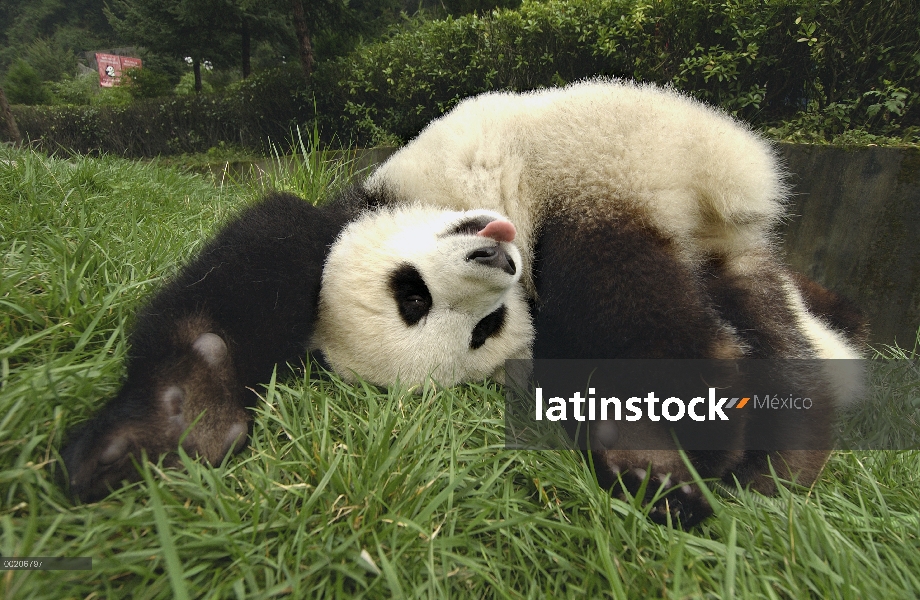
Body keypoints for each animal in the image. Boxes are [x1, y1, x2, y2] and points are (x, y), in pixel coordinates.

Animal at [61, 79, 868, 524]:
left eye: (410, 293)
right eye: (483, 329)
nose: (495, 262)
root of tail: (730, 189)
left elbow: (270, 245)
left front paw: (171, 419)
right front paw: (185, 418)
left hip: (616, 170)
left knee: (614, 277)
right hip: (720, 250)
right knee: (749, 321)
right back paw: (760, 455)